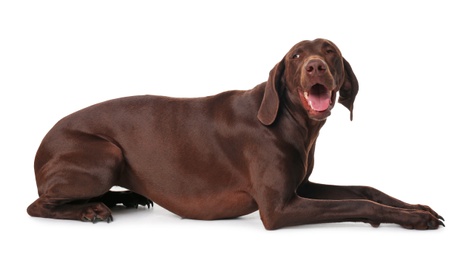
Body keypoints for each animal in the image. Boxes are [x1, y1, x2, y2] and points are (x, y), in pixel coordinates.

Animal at [27, 38, 444, 230]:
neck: (291, 122)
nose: (316, 67)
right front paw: (413, 220)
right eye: (296, 56)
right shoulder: (278, 208)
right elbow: (358, 204)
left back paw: (124, 198)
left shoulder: (301, 186)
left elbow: (365, 190)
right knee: (38, 205)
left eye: (330, 50)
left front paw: (418, 208)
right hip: (105, 154)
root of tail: (41, 146)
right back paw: (91, 209)